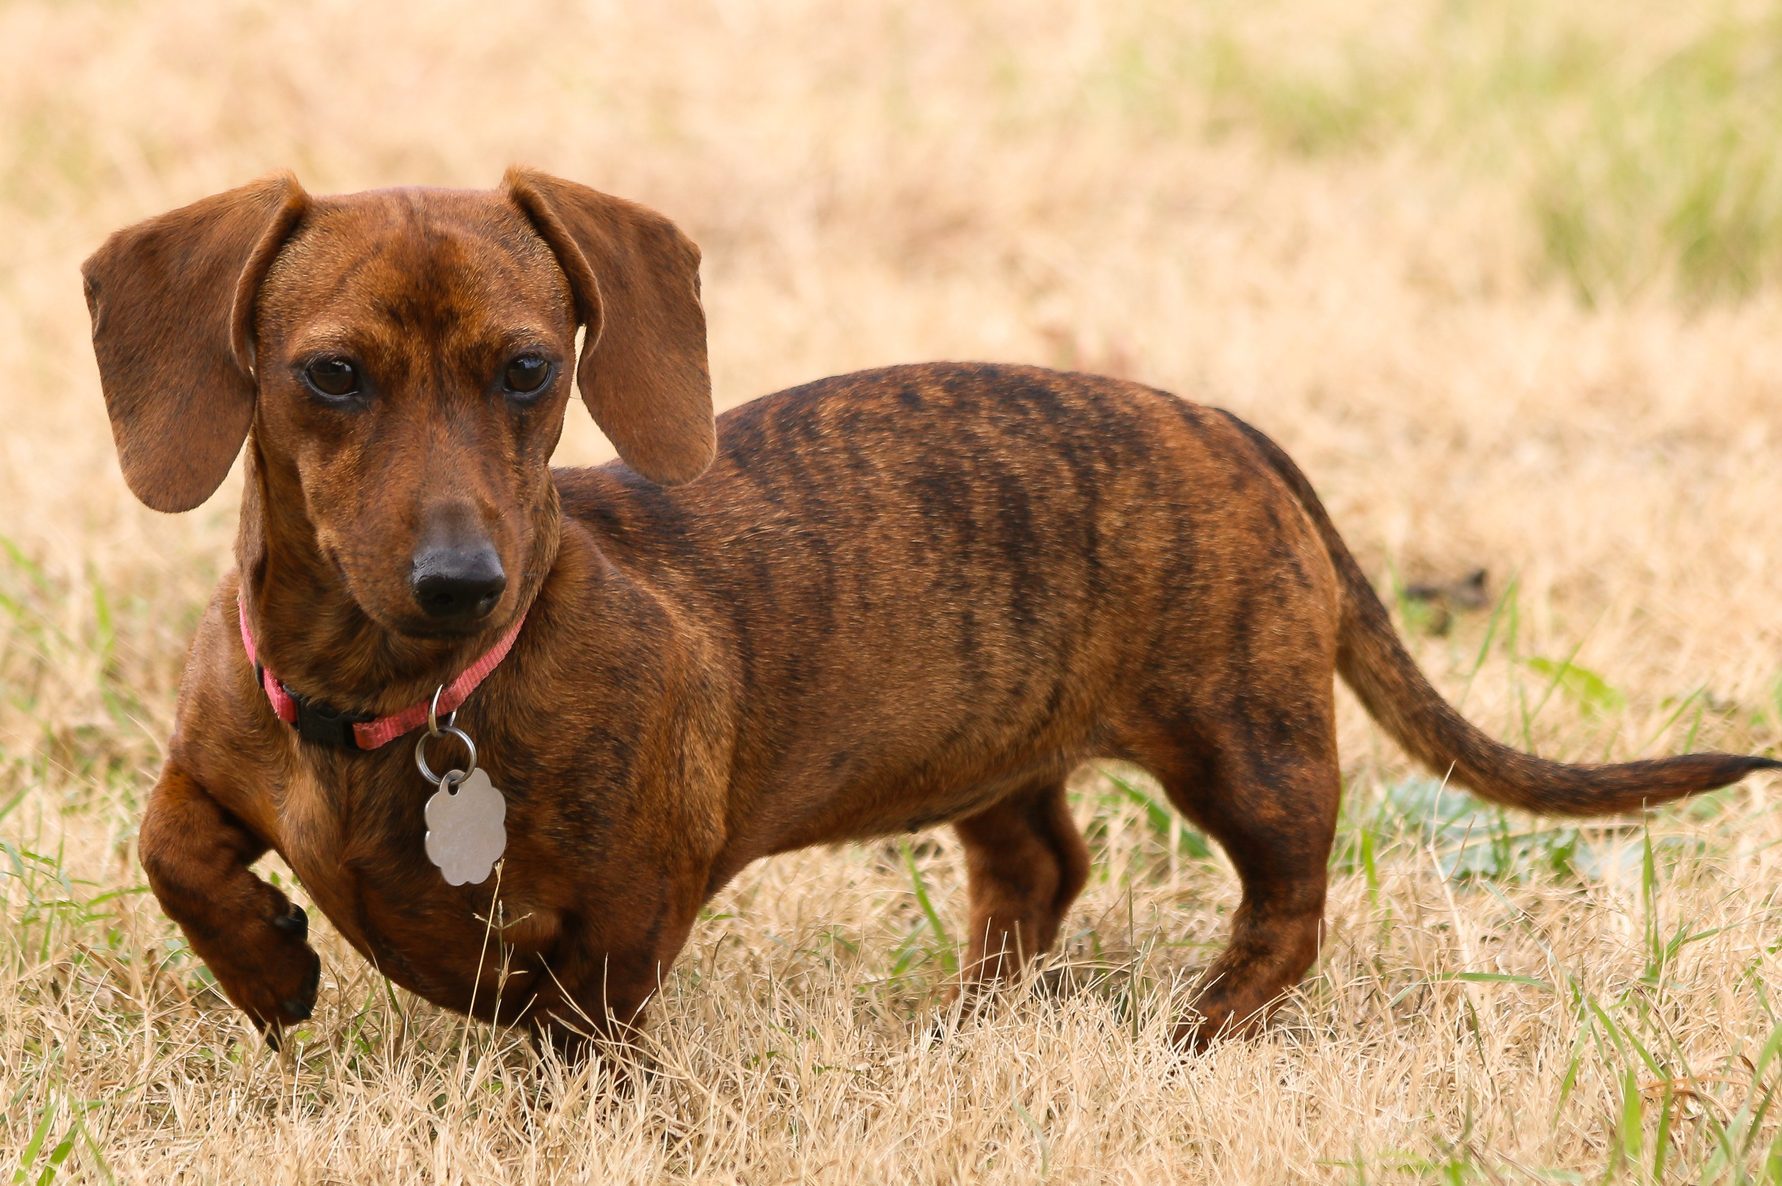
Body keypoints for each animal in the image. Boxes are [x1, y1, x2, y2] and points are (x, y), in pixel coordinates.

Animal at [86, 163, 1782, 1054]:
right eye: (329, 373)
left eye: (526, 367)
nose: (462, 580)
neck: (391, 698)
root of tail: (1223, 423)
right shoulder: (210, 760)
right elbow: (174, 846)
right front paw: (269, 962)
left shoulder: (640, 884)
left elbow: (585, 1003)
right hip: (994, 744)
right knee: (1041, 864)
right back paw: (969, 1015)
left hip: (1242, 737)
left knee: (1287, 896)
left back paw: (1202, 1023)